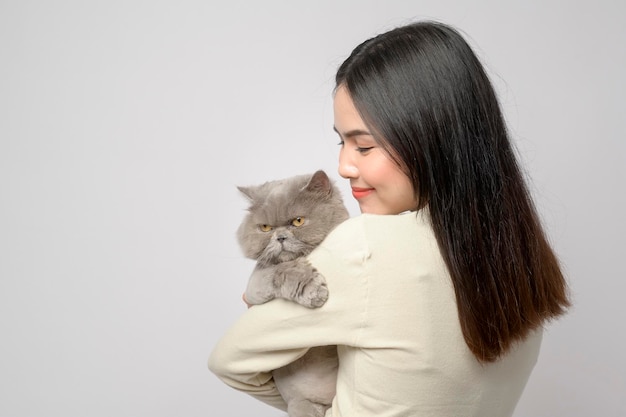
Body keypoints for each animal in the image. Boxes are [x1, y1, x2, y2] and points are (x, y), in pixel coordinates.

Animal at [236, 169, 348, 416]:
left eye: (298, 221)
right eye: (265, 228)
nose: (280, 237)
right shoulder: (256, 284)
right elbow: (282, 269)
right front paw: (314, 290)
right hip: (301, 403)